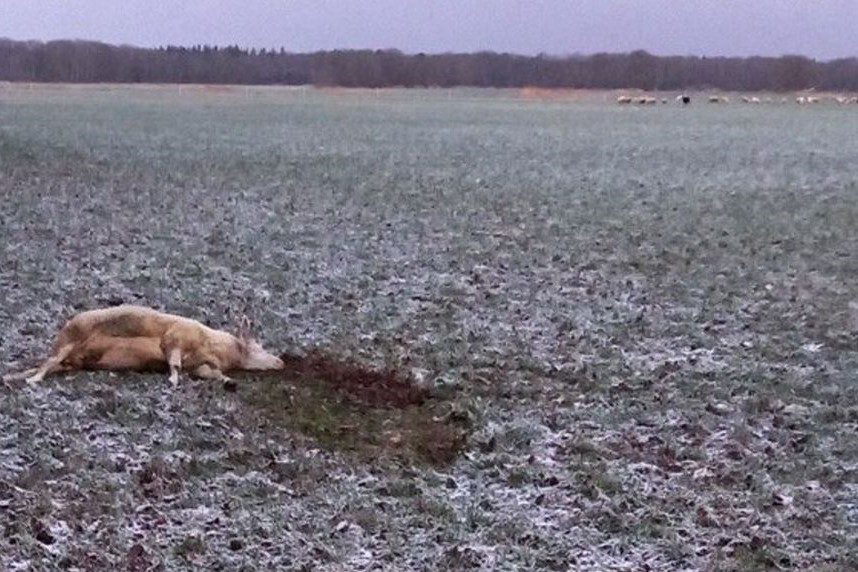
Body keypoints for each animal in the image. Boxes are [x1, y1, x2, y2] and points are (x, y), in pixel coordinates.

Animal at [3, 305, 284, 385]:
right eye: (259, 348)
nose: (281, 362)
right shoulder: (174, 339)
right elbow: (174, 362)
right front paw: (172, 380)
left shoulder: (200, 365)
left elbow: (210, 373)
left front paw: (228, 381)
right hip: (69, 342)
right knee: (46, 364)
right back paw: (32, 380)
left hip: (70, 361)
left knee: (50, 365)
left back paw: (10, 377)